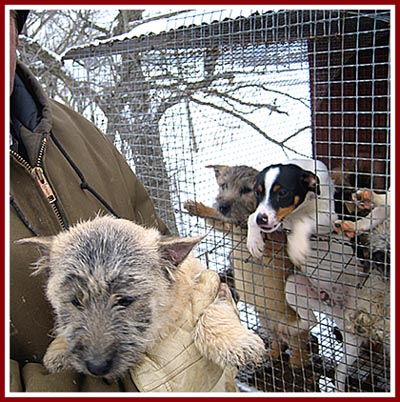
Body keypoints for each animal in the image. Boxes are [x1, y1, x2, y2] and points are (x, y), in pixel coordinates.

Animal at [18, 217, 266, 384]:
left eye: (125, 300)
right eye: (75, 301)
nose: (96, 367)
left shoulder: (213, 287)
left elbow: (212, 310)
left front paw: (234, 342)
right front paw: (58, 349)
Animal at [184, 166, 312, 368]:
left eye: (246, 190)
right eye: (224, 186)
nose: (223, 206)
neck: (240, 227)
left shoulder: (275, 245)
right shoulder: (227, 224)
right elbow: (217, 218)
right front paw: (197, 207)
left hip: (293, 329)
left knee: (299, 349)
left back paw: (296, 362)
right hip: (266, 321)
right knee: (277, 342)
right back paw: (271, 354)